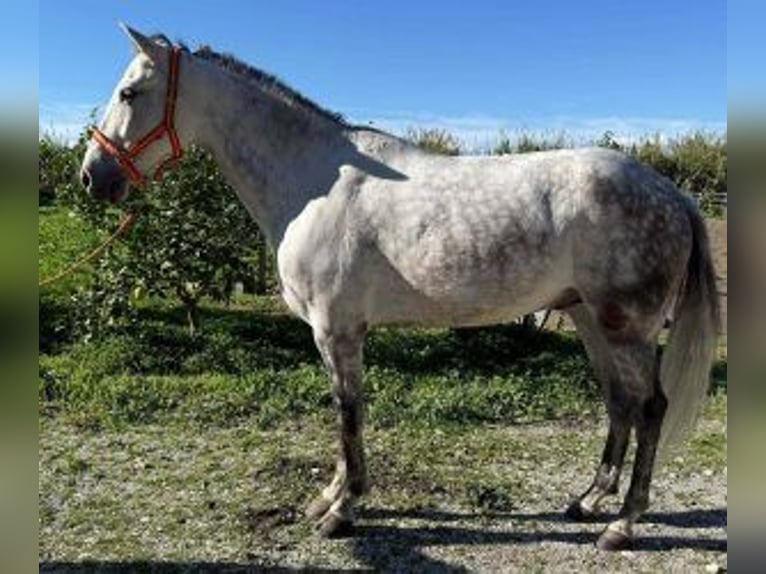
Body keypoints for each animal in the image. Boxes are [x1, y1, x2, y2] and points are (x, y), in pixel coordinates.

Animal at [79, 25, 719, 551]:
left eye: (129, 93)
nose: (92, 176)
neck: (313, 181)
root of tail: (671, 192)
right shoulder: (334, 333)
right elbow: (343, 411)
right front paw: (327, 498)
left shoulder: (337, 329)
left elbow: (348, 413)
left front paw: (343, 511)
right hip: (589, 318)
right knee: (620, 403)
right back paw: (587, 502)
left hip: (626, 326)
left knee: (651, 407)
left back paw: (623, 524)